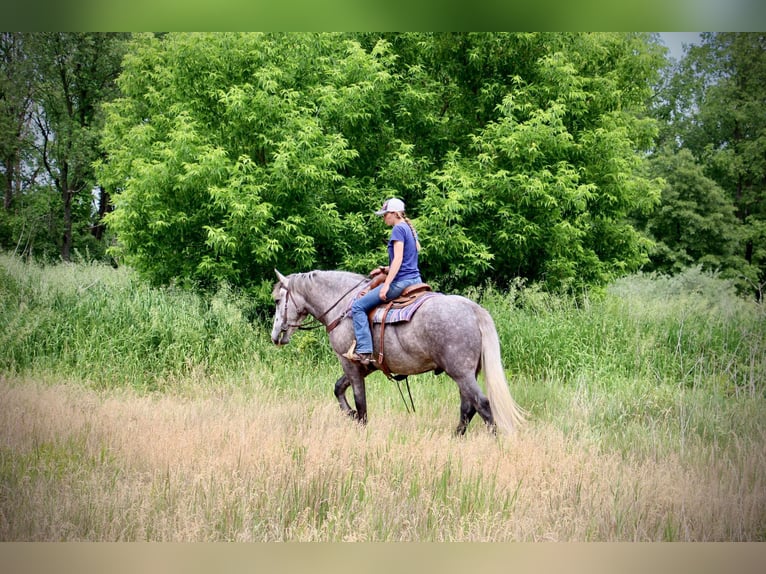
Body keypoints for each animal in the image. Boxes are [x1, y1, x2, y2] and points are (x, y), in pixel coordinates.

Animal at [272, 270, 528, 436]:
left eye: (276, 300)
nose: (275, 336)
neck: (343, 306)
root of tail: (473, 309)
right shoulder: (365, 367)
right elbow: (338, 388)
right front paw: (350, 415)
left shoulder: (350, 364)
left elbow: (360, 401)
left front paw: (359, 424)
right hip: (467, 373)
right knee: (468, 407)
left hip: (461, 372)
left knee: (481, 404)